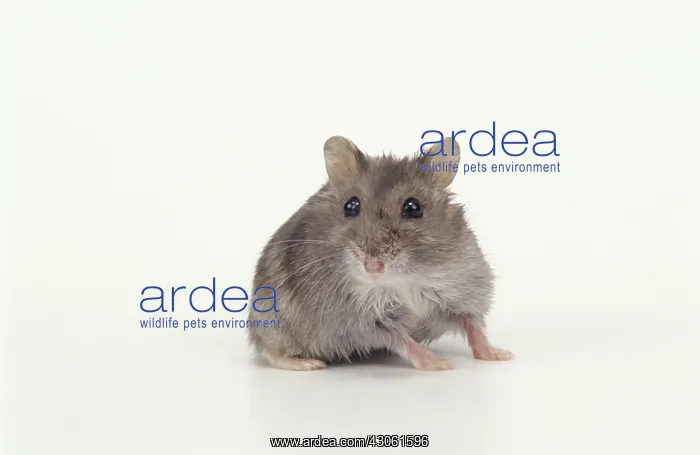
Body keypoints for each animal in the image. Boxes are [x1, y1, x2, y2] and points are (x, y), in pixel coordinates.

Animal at [246, 135, 513, 371]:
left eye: (413, 207)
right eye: (350, 206)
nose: (373, 266)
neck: (403, 279)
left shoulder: (461, 291)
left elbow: (472, 325)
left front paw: (502, 355)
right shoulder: (364, 318)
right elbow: (401, 339)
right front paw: (439, 363)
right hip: (272, 325)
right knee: (269, 351)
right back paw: (308, 364)